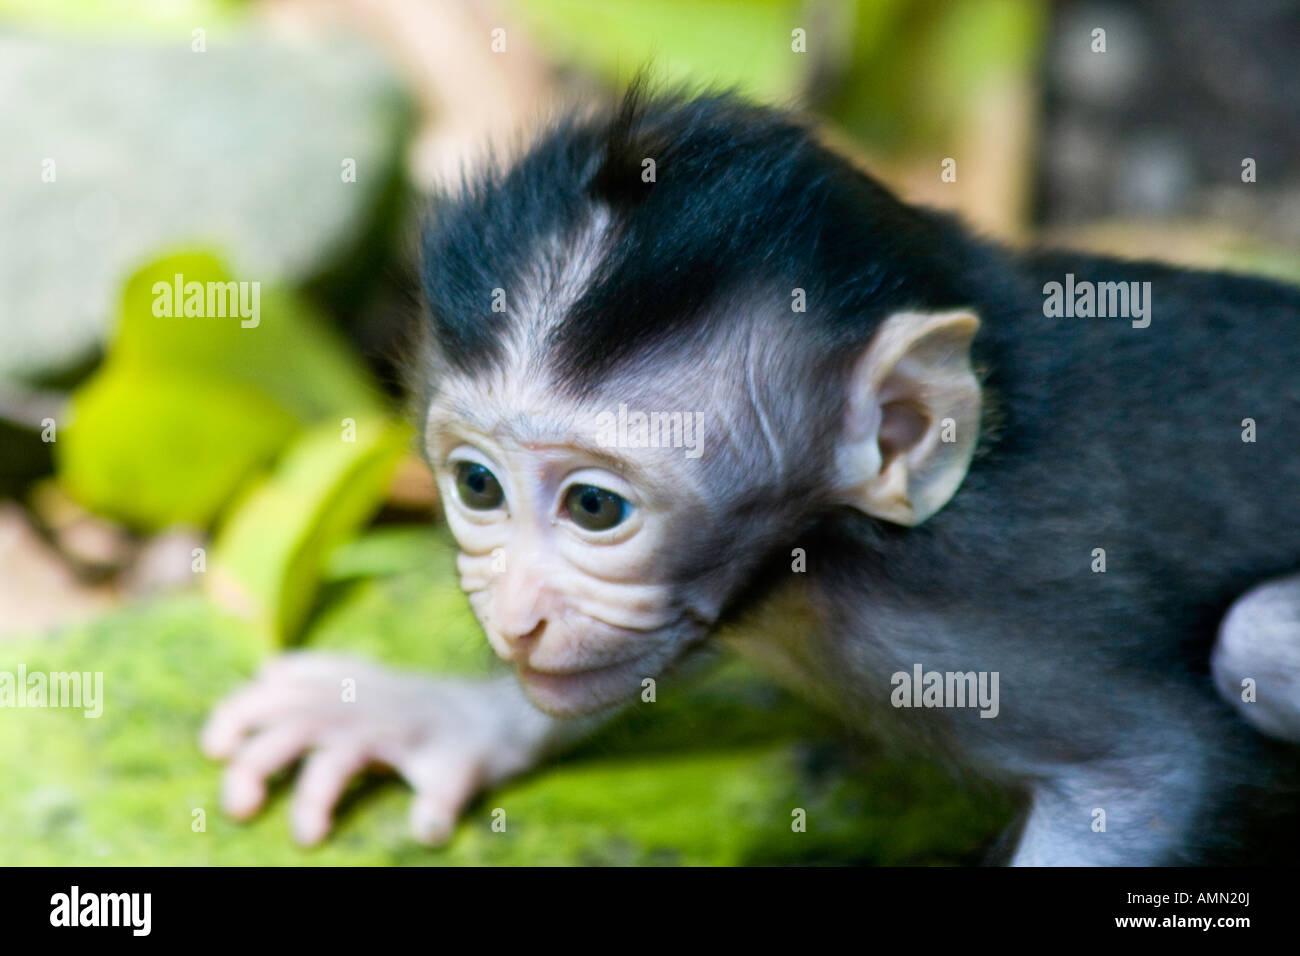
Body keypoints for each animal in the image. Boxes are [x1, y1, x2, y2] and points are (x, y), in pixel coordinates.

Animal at [200, 85, 1300, 863]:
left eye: (593, 505)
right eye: (478, 487)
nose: (517, 618)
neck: (827, 543)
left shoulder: (946, 626)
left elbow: (1145, 774)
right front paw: (434, 716)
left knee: (1255, 638)